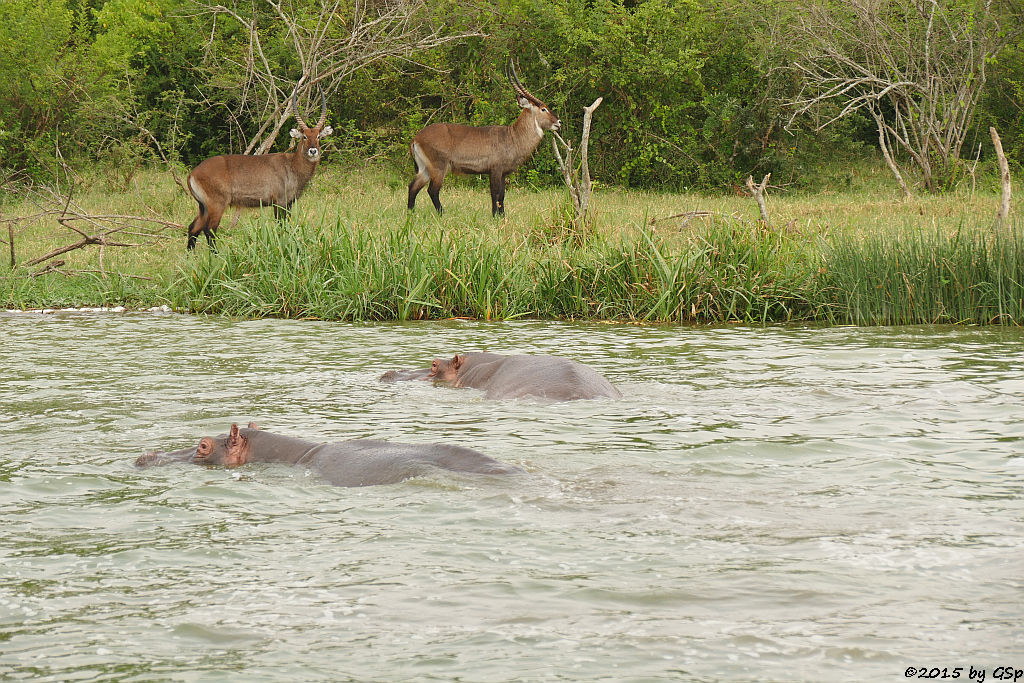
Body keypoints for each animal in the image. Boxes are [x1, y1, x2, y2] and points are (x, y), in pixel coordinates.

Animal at [182, 90, 329, 249]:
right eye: (304, 136)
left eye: (318, 136)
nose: (313, 151)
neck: (292, 165)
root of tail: (192, 173)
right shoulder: (280, 202)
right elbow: (281, 227)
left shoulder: (289, 204)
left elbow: (287, 226)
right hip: (217, 205)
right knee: (209, 230)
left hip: (203, 207)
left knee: (193, 228)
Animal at [405, 62, 561, 216]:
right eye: (543, 109)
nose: (558, 122)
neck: (513, 136)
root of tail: (416, 138)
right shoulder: (495, 170)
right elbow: (495, 194)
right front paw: (494, 216)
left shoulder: (503, 173)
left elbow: (502, 195)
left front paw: (502, 216)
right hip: (439, 168)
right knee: (432, 190)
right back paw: (441, 214)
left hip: (425, 168)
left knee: (413, 186)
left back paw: (411, 213)